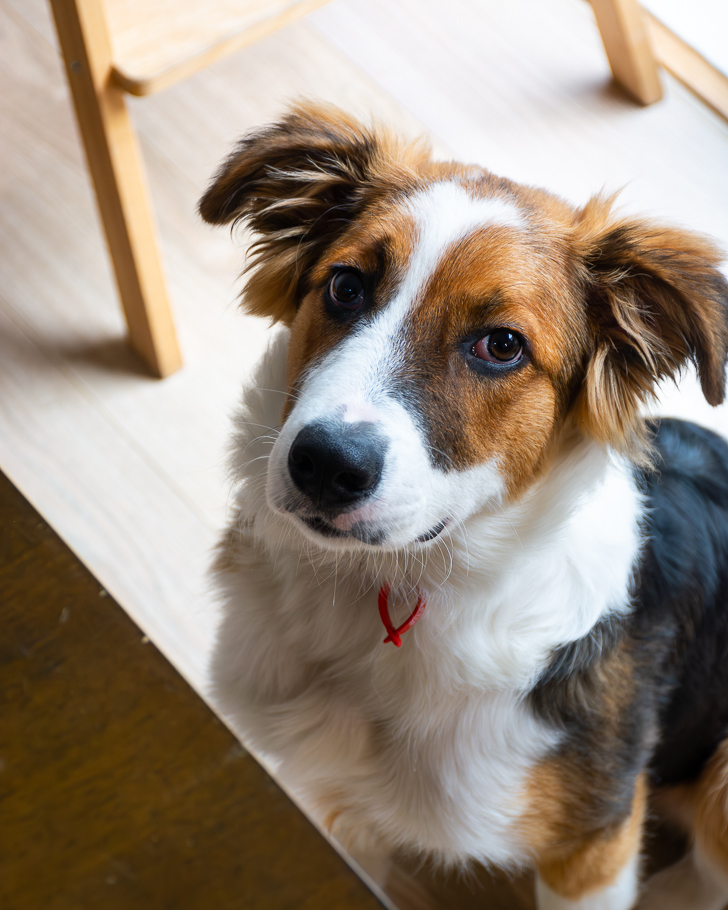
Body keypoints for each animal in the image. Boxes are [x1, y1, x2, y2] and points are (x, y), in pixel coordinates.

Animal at [199, 103, 728, 910]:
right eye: (346, 286)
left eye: (502, 345)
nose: (325, 465)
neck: (387, 594)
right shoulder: (327, 798)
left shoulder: (592, 846)